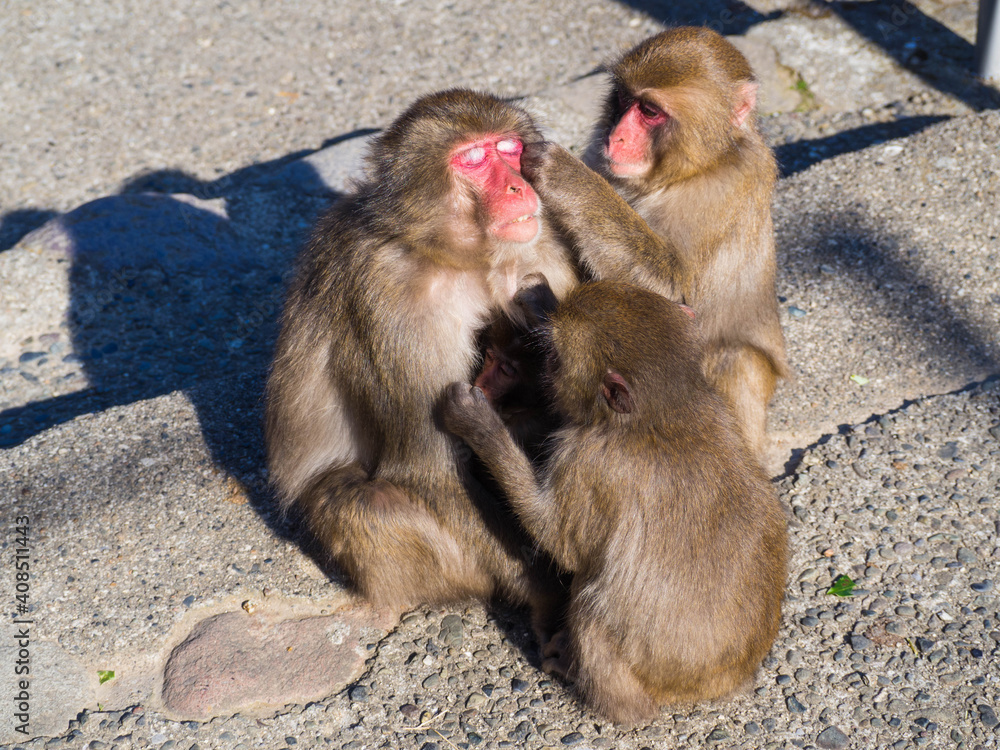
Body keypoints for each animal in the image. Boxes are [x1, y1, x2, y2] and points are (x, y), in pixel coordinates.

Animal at [264, 89, 580, 628]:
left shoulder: (541, 252)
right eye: (473, 159)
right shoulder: (391, 300)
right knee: (360, 504)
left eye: (509, 148)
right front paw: (549, 598)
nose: (518, 186)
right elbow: (432, 470)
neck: (464, 259)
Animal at [442, 280, 784, 724]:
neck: (662, 410)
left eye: (554, 360)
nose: (545, 365)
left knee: (592, 609)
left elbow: (560, 541)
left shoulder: (586, 461)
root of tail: (711, 687)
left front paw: (479, 425)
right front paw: (542, 299)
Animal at [520, 26, 784, 462]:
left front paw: (565, 176)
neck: (694, 168)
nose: (617, 136)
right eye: (624, 100)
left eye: (649, 111)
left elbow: (673, 289)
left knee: (736, 360)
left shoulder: (726, 189)